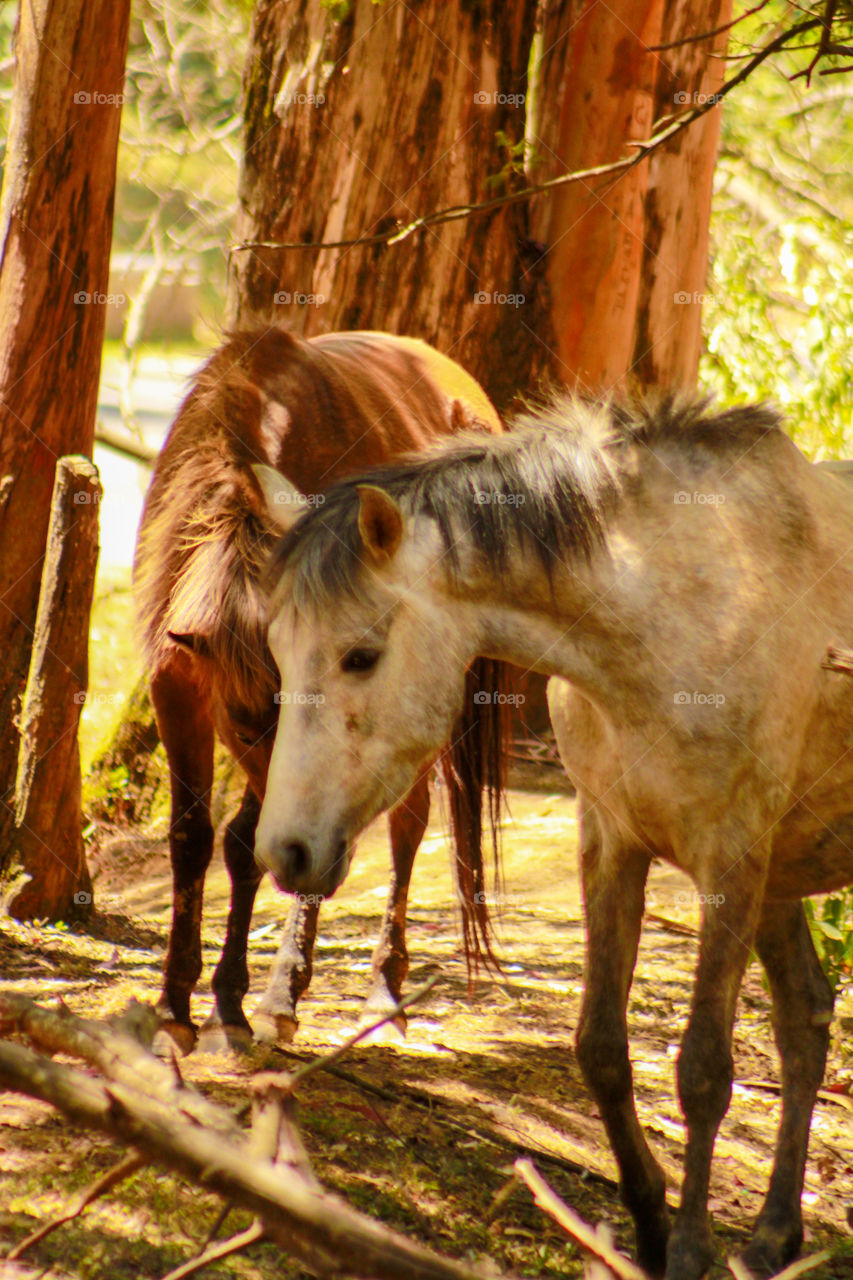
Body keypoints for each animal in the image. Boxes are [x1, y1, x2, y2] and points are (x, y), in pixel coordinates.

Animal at [133, 324, 506, 1053]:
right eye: (242, 721)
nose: (300, 848)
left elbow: (240, 845)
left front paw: (232, 1003)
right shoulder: (178, 688)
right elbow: (192, 839)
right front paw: (173, 1009)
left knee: (409, 822)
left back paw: (368, 990)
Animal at [252, 392, 853, 1279]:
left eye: (361, 654)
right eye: (278, 653)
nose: (282, 851)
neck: (683, 605)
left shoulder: (729, 860)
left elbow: (703, 1071)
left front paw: (687, 1248)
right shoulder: (611, 843)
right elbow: (599, 1049)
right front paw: (647, 1224)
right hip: (779, 880)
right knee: (804, 1022)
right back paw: (776, 1231)